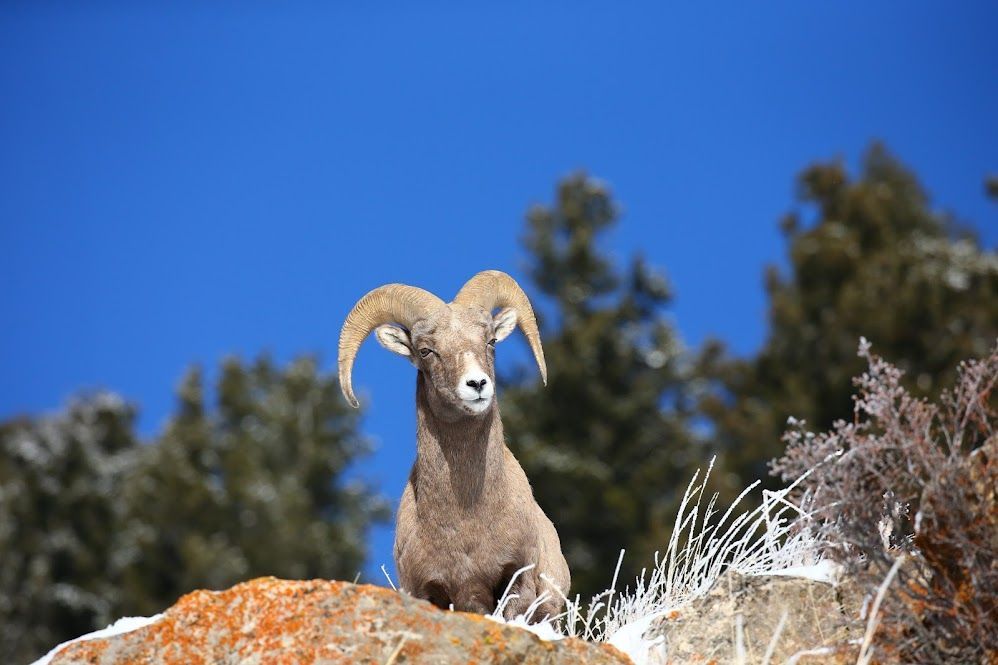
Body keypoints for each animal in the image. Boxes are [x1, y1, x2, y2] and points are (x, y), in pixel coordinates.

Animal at [338, 270, 570, 621]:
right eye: (425, 350)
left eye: (490, 341)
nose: (477, 384)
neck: (466, 522)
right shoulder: (430, 593)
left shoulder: (517, 581)